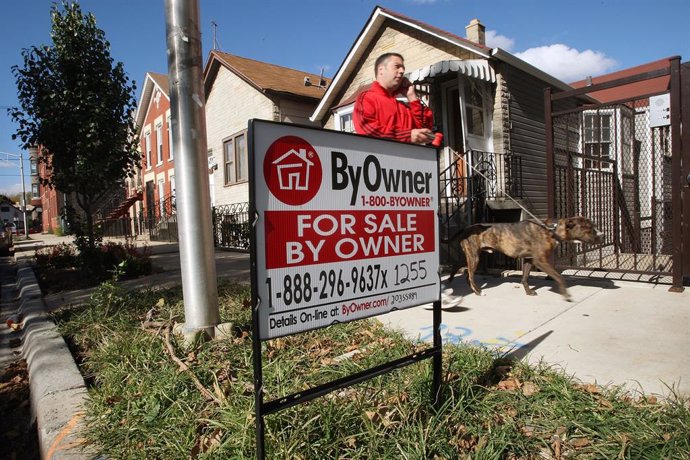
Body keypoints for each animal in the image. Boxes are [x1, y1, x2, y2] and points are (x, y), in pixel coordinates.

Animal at [448, 217, 600, 302]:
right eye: (587, 227)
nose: (601, 236)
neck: (552, 230)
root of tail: (467, 228)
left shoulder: (529, 260)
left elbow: (525, 278)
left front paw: (528, 292)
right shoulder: (540, 261)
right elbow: (559, 277)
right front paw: (566, 295)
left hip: (472, 256)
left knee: (464, 271)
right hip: (474, 256)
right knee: (469, 275)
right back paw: (478, 291)